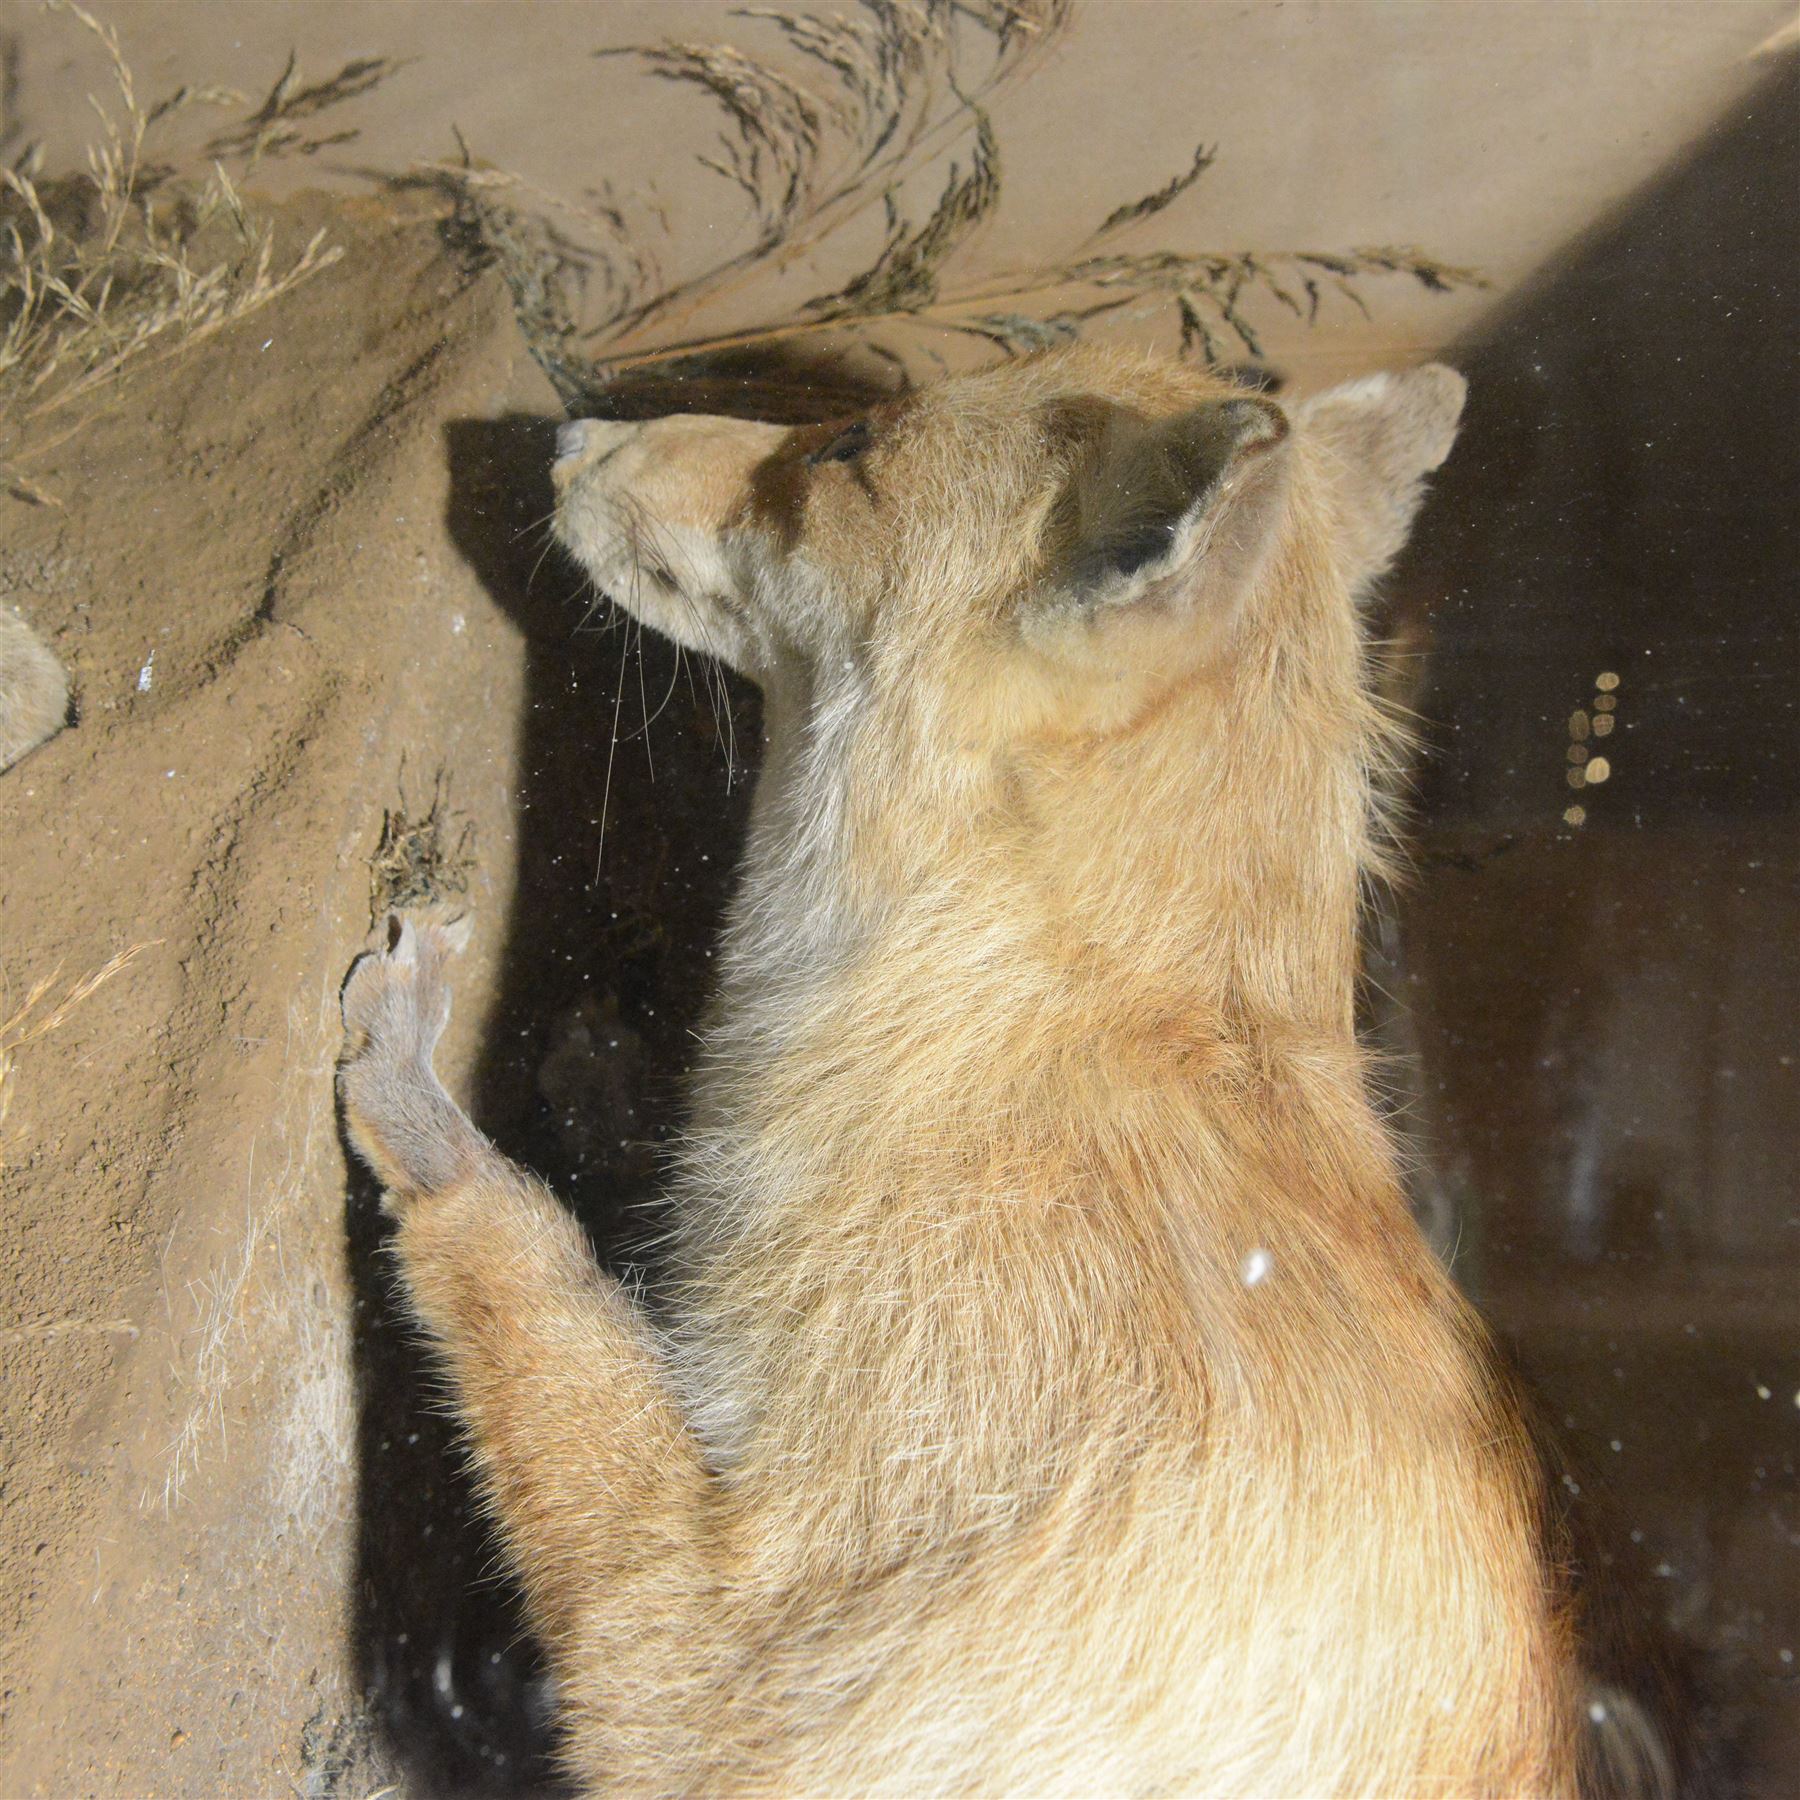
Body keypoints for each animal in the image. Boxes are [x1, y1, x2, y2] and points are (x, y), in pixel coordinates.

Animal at [338, 346, 1581, 1796]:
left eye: (849, 446)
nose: (566, 435)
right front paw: (595, 1080)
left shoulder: (714, 1681)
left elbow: (516, 1253)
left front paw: (410, 1085)